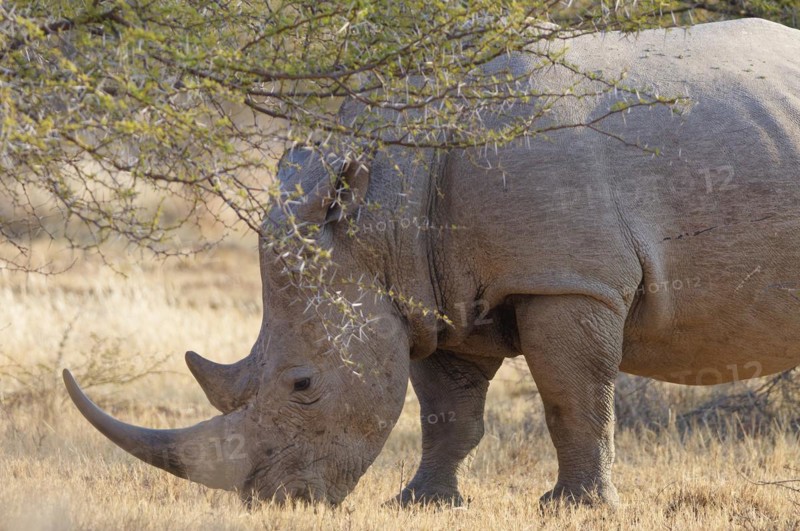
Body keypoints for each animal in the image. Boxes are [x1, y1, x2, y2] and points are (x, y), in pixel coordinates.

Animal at [64, 18, 800, 506]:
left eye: (304, 384)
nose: (275, 501)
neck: (381, 204)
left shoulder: (567, 281)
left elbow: (575, 400)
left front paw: (576, 508)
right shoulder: (429, 291)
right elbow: (448, 414)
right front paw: (421, 502)